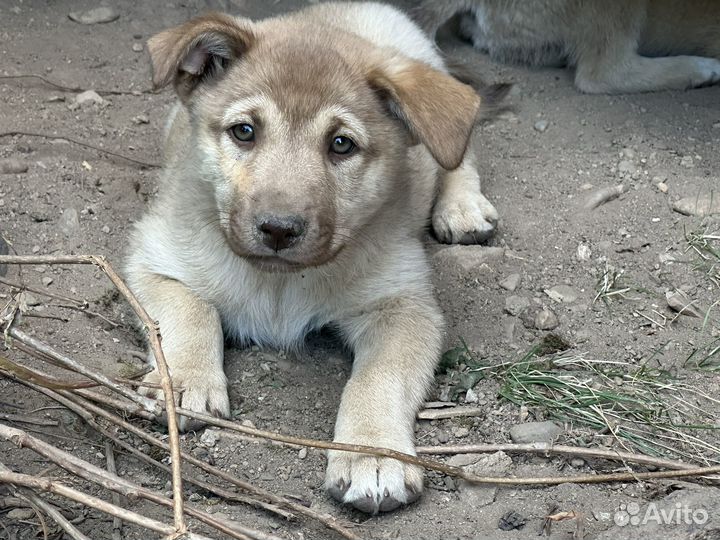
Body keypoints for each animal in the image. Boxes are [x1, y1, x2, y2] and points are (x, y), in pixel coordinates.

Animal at [125, 1, 500, 516]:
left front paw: (372, 453)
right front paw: (183, 380)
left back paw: (462, 207)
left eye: (341, 144)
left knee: (459, 154)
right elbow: (191, 311)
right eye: (244, 131)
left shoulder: (405, 305)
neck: (280, 283)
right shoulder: (151, 258)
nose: (279, 229)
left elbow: (378, 377)